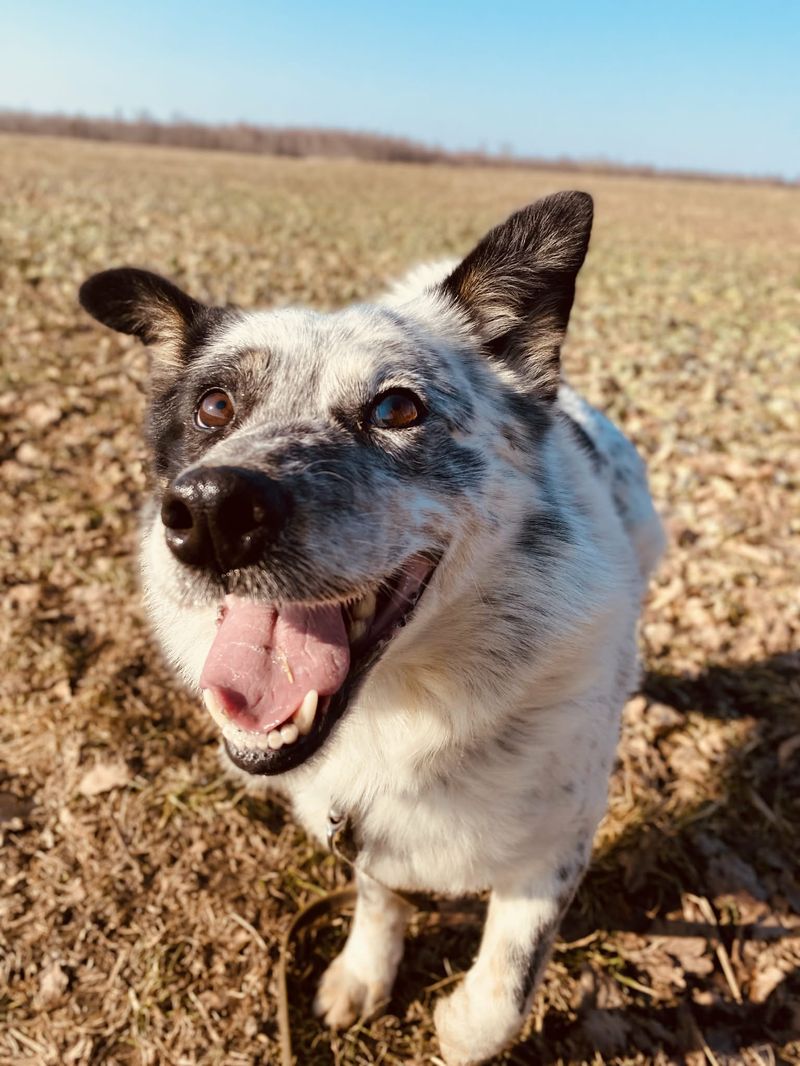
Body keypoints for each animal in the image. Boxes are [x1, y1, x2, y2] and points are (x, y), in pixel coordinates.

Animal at [79, 190, 664, 1065]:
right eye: (214, 407)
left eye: (396, 407)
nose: (213, 512)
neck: (406, 708)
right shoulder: (360, 824)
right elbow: (380, 899)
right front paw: (364, 975)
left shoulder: (559, 844)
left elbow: (502, 990)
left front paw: (457, 1025)